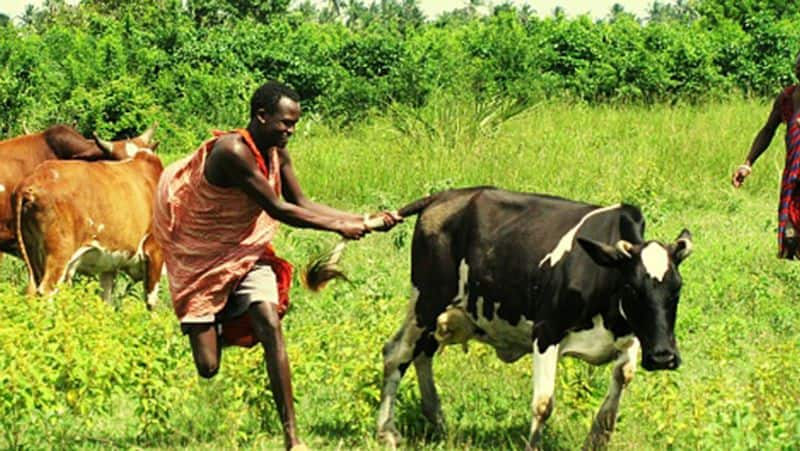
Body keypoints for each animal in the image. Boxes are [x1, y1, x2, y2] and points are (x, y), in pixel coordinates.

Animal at [14, 138, 163, 308]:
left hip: (32, 254)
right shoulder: (155, 251)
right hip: (59, 254)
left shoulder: (110, 263)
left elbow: (106, 299)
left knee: (32, 291)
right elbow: (151, 301)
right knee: (46, 292)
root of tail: (32, 183)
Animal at [378, 186, 692, 448]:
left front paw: (596, 441)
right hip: (427, 301)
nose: (663, 357)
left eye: (677, 288)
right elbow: (543, 404)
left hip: (439, 316)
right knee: (396, 352)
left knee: (422, 353)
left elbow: (619, 386)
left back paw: (439, 421)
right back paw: (387, 432)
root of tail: (442, 196)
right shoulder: (546, 331)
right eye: (631, 288)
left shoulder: (630, 338)